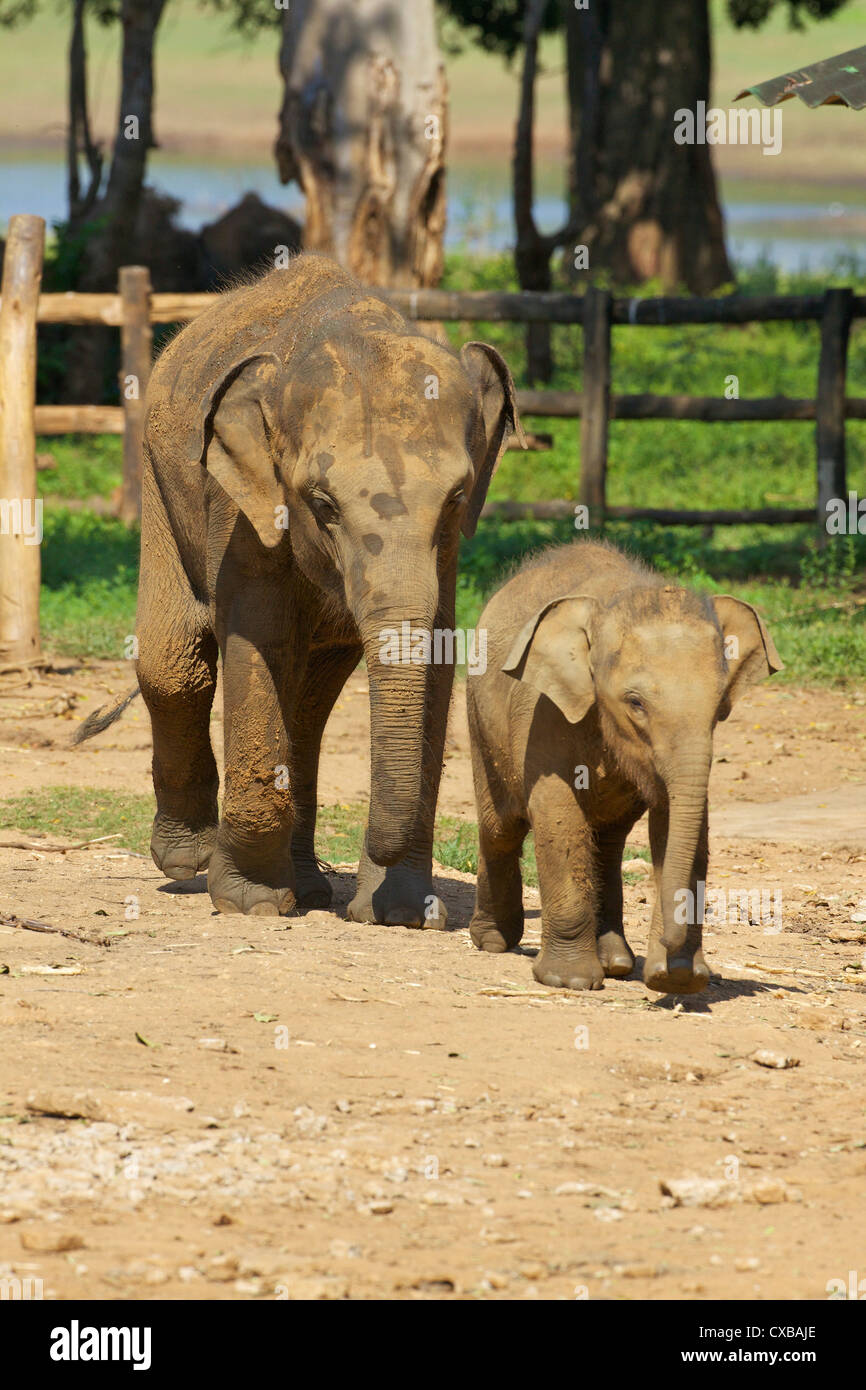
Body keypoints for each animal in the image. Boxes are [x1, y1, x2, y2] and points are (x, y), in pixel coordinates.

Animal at [100, 255, 525, 922]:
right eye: (321, 504)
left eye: (456, 499)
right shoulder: (242, 501)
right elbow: (260, 638)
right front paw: (251, 902)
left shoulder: (450, 550)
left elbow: (435, 654)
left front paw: (402, 914)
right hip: (158, 477)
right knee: (174, 663)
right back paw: (190, 861)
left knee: (309, 704)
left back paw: (308, 888)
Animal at [467, 536, 783, 995]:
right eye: (635, 703)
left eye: (719, 705)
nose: (670, 954)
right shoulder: (545, 710)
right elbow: (557, 812)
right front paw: (570, 981)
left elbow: (679, 824)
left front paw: (678, 978)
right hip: (479, 716)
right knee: (501, 826)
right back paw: (493, 942)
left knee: (608, 840)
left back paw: (616, 962)